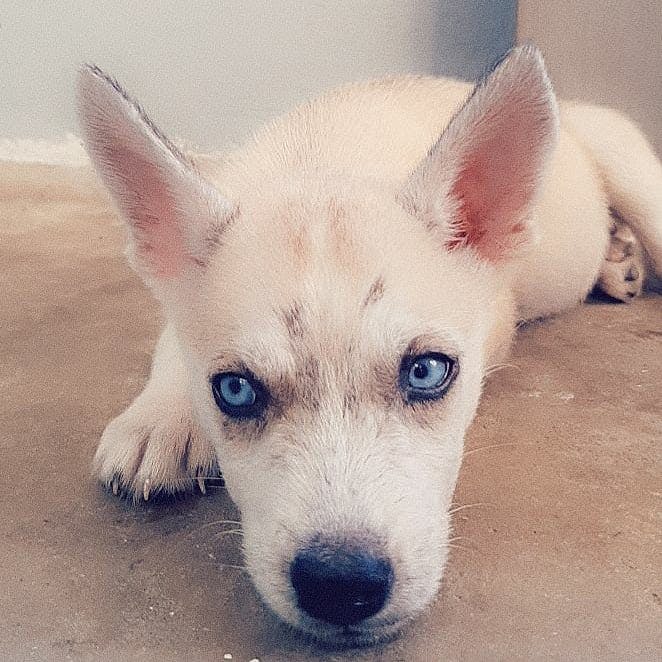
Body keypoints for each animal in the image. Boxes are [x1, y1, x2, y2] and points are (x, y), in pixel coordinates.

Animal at [79, 48, 662, 648]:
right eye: (235, 390)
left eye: (427, 372)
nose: (340, 586)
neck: (322, 160)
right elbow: (172, 340)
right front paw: (159, 418)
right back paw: (618, 257)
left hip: (630, 163)